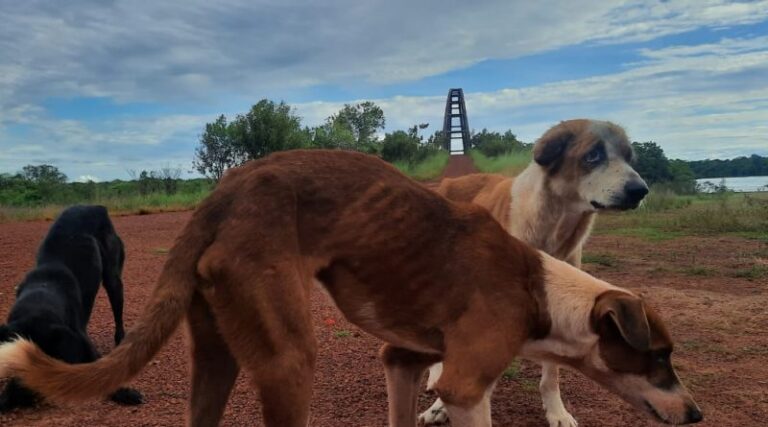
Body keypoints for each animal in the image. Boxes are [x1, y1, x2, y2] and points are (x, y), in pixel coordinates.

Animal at [0, 206, 142, 412]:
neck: (43, 289)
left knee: (118, 316)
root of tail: (95, 207)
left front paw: (125, 393)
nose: (25, 399)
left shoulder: (82, 341)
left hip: (113, 280)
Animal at [424, 118, 652, 427]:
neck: (551, 228)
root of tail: (451, 182)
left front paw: (557, 412)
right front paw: (444, 404)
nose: (640, 190)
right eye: (593, 155)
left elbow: (551, 374)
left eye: (629, 157)